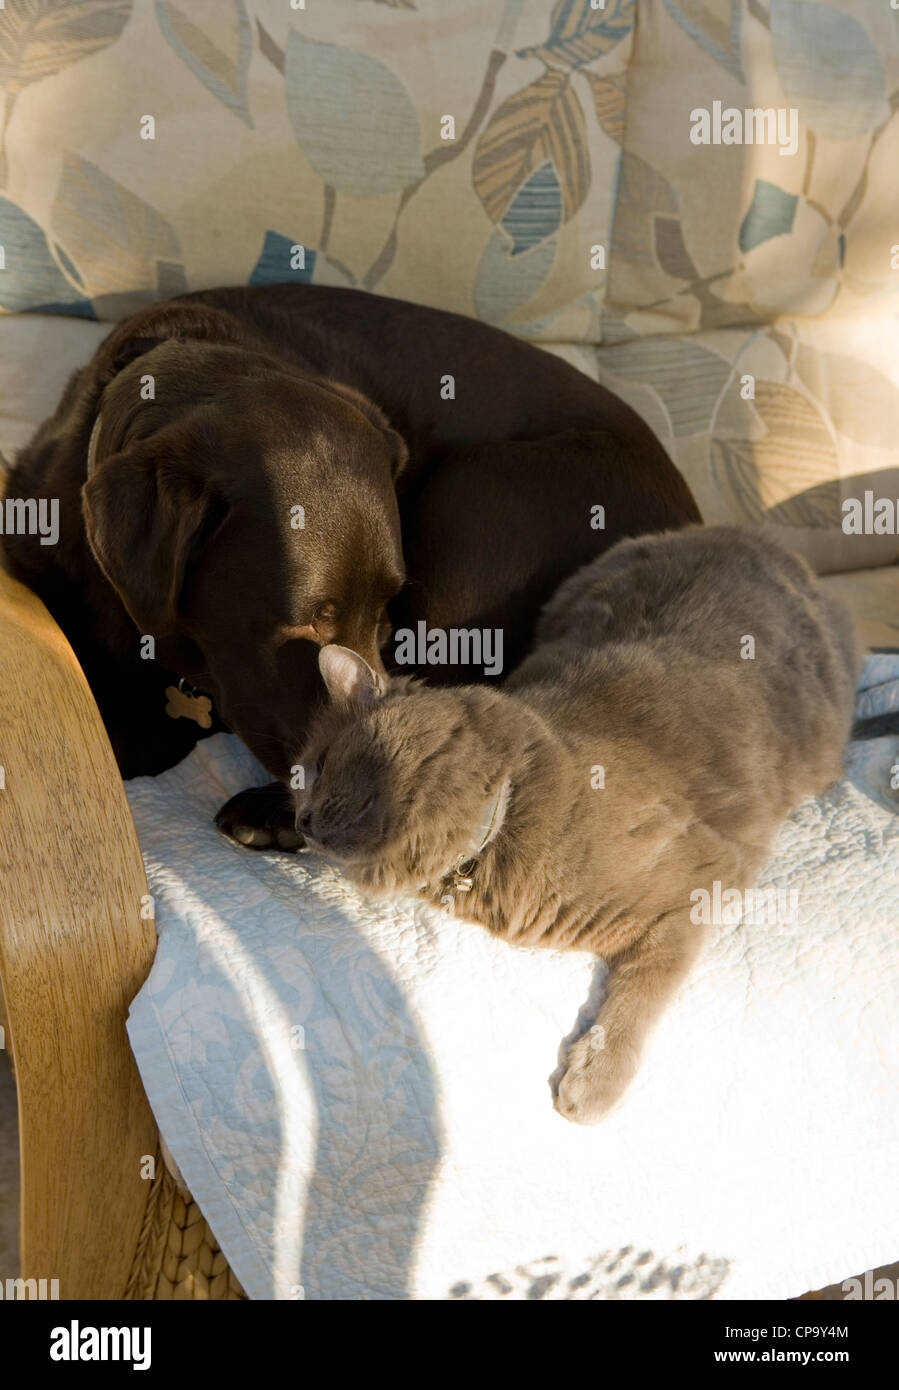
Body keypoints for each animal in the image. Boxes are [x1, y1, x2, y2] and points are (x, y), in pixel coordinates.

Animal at [295, 525, 855, 1123]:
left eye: (321, 765)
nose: (299, 821)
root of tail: (754, 534)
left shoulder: (701, 880)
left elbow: (648, 984)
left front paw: (594, 1081)